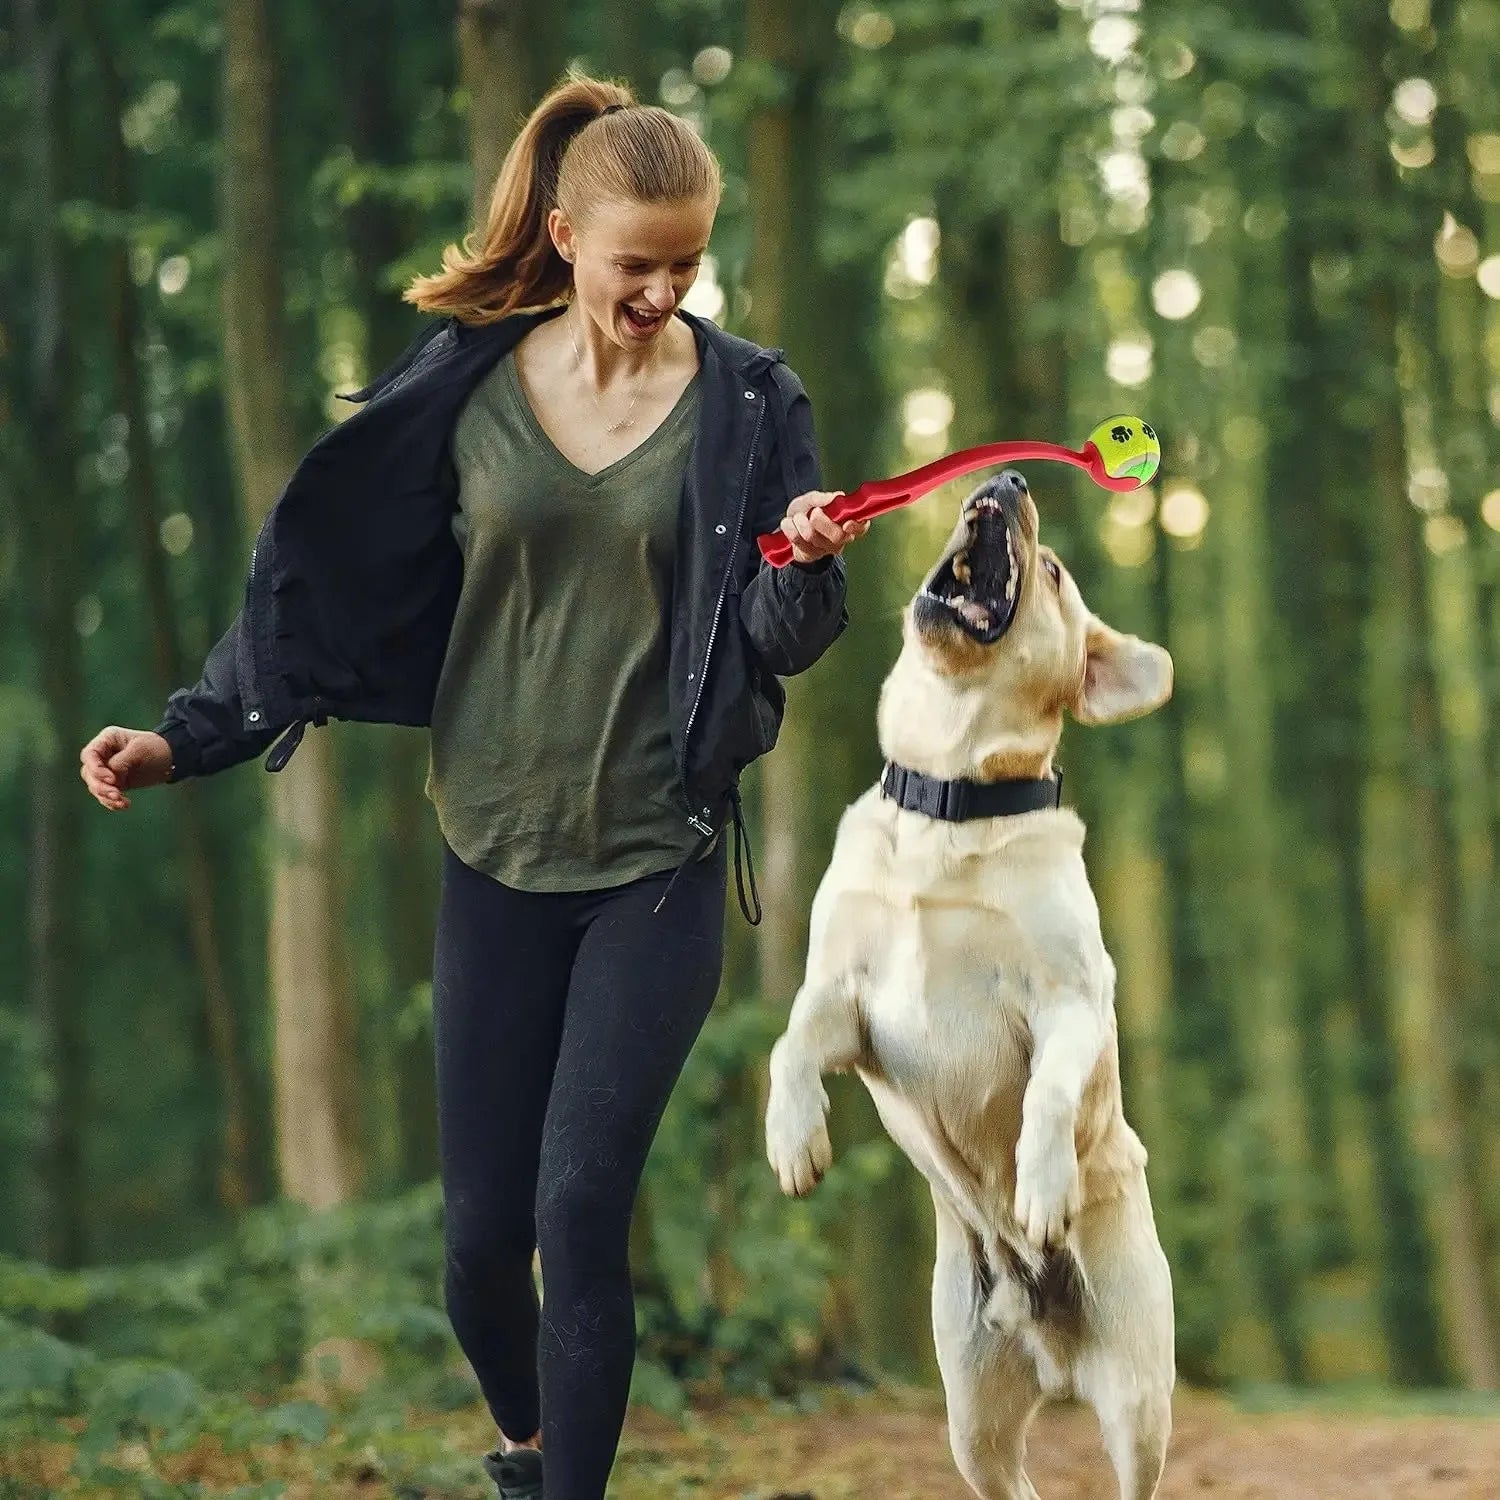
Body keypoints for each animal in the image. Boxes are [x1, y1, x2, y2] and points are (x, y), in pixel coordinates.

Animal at [768, 471, 1176, 1500]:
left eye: (1057, 572)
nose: (1008, 478)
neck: (948, 799)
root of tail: (1054, 1349)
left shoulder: (1069, 1002)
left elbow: (1049, 1095)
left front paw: (1041, 1184)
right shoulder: (847, 1002)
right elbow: (789, 1046)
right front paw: (795, 1141)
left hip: (1138, 1398)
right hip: (974, 1424)